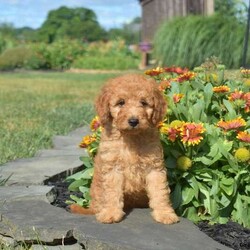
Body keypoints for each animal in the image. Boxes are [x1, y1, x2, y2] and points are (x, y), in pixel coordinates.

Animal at [71, 73, 180, 225]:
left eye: (143, 103)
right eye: (121, 103)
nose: (133, 121)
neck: (130, 137)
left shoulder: (154, 167)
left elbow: (160, 191)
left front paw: (165, 214)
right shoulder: (112, 168)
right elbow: (111, 193)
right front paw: (110, 213)